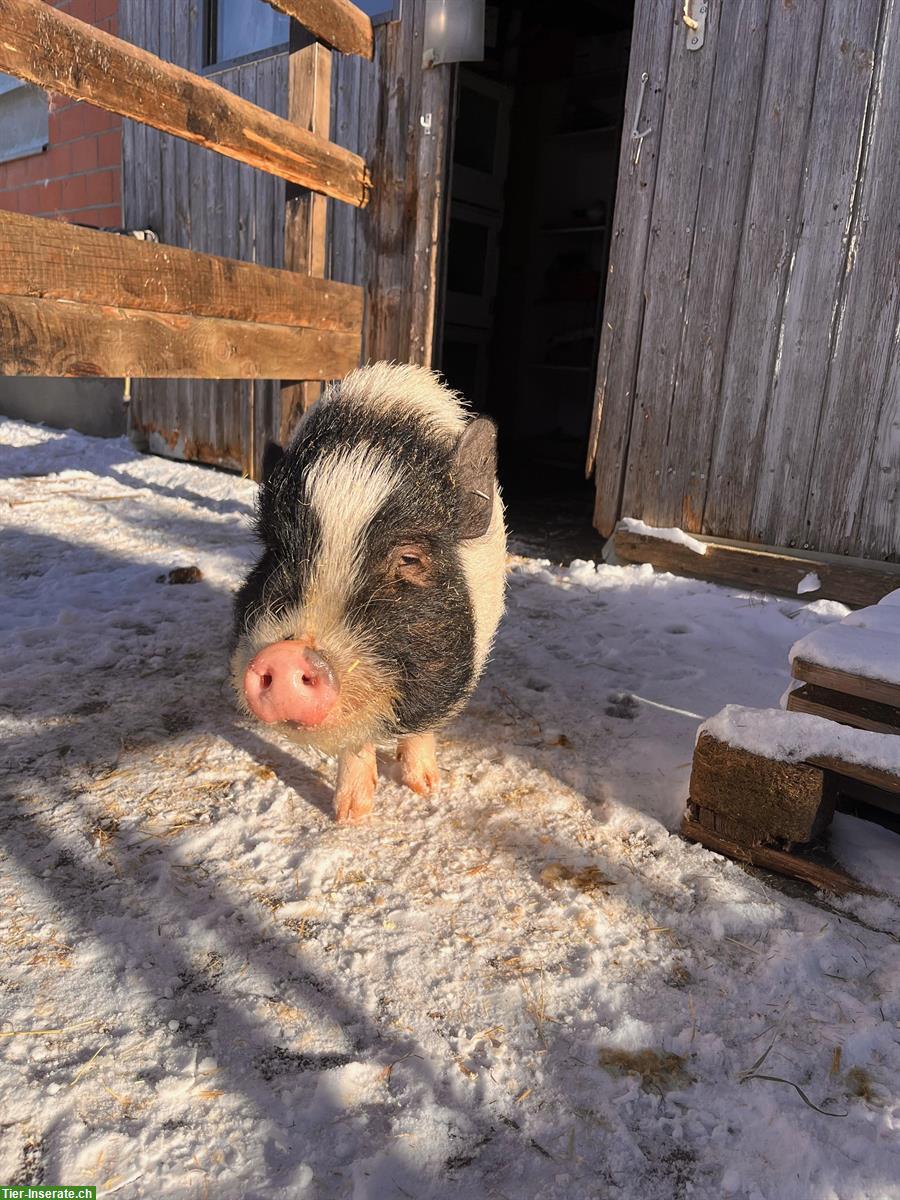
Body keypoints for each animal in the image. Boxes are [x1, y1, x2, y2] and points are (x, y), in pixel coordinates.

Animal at [231, 362, 506, 823]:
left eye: (410, 559)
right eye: (276, 550)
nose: (286, 655)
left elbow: (422, 724)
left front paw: (425, 789)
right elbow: (355, 743)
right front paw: (350, 817)